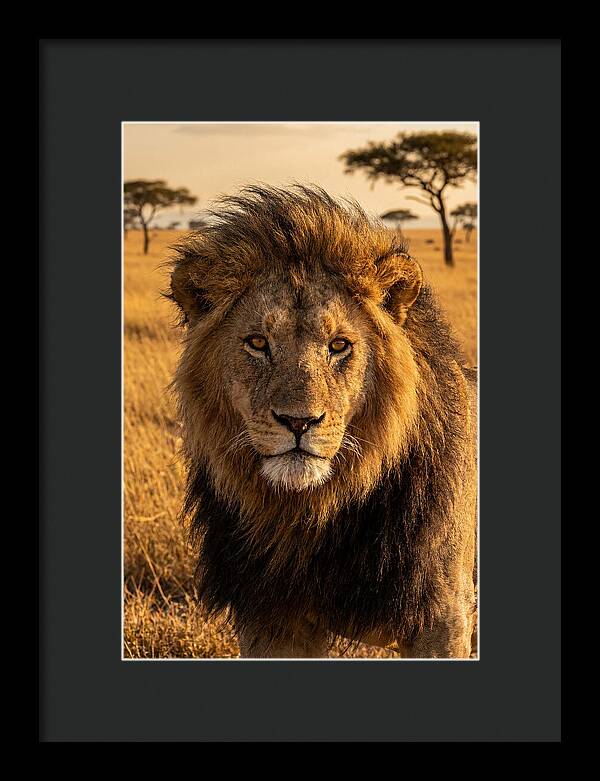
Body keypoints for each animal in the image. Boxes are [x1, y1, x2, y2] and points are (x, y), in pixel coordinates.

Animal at [167, 184, 477, 658]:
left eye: (339, 345)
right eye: (258, 343)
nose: (298, 422)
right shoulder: (271, 619)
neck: (312, 515)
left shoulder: (443, 616)